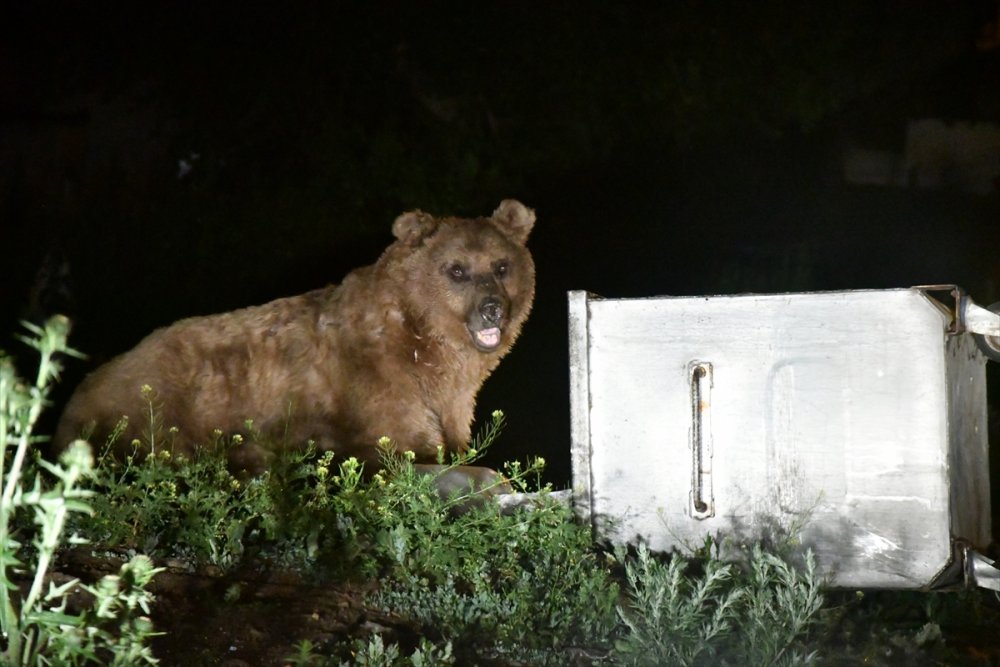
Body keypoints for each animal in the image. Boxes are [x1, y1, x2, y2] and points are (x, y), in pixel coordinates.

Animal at [52, 198, 540, 486]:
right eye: (457, 270)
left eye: (501, 266)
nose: (493, 308)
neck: (425, 343)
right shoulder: (373, 385)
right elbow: (397, 448)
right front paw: (485, 478)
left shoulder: (450, 399)